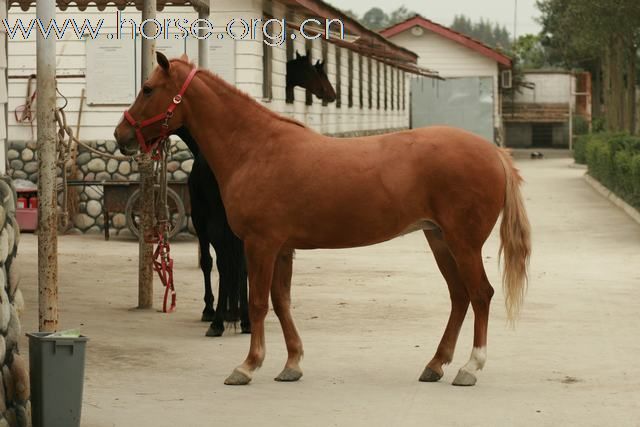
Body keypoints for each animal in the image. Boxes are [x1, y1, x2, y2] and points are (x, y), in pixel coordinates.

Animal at [115, 53, 528, 388]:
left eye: (148, 89)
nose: (122, 135)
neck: (255, 148)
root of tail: (493, 153)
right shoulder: (281, 249)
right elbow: (281, 302)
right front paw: (292, 364)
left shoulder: (260, 245)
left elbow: (258, 303)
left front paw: (248, 366)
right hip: (439, 238)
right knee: (460, 296)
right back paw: (436, 364)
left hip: (463, 242)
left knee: (480, 295)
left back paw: (470, 368)